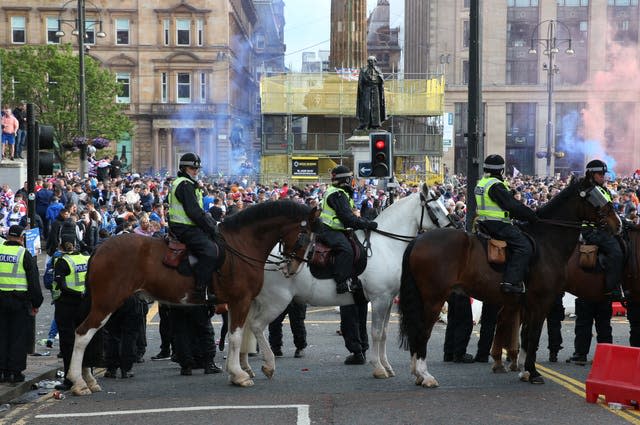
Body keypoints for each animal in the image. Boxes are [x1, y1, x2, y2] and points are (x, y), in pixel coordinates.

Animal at [67, 200, 318, 396]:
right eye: (306, 237)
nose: (293, 268)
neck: (241, 245)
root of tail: (99, 248)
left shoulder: (238, 303)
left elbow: (237, 336)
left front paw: (239, 371)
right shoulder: (241, 301)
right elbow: (236, 337)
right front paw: (239, 375)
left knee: (88, 335)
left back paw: (88, 379)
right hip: (106, 303)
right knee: (82, 334)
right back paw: (78, 382)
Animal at [241, 184, 456, 380]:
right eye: (436, 208)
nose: (456, 229)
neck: (386, 245)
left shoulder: (387, 300)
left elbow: (384, 332)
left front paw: (387, 366)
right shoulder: (379, 299)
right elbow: (376, 332)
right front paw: (378, 368)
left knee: (245, 326)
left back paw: (244, 368)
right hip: (276, 301)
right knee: (257, 326)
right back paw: (268, 365)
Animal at [398, 174, 624, 386]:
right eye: (597, 197)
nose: (618, 224)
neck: (547, 242)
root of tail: (419, 239)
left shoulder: (526, 304)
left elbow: (526, 336)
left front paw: (525, 370)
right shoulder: (542, 301)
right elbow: (533, 336)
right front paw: (533, 372)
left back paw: (418, 374)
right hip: (433, 299)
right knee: (422, 331)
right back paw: (425, 375)